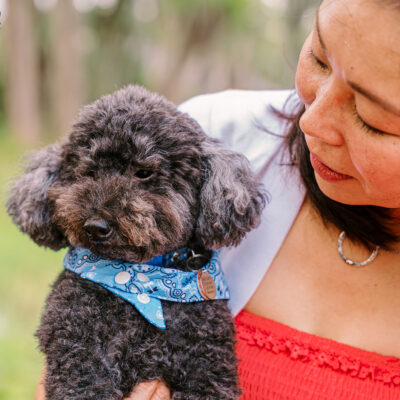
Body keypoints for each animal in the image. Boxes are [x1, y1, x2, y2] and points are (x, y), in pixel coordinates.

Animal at [7, 85, 266, 400]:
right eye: (89, 172)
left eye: (144, 172)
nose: (96, 226)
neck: (141, 280)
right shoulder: (78, 354)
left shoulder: (208, 366)